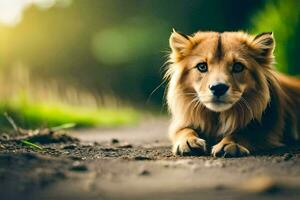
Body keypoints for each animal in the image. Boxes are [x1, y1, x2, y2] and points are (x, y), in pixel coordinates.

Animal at [165, 30, 300, 158]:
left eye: (238, 67)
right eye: (202, 66)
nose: (218, 88)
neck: (217, 118)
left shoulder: (266, 129)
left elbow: (242, 132)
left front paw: (230, 144)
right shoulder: (182, 122)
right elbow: (184, 130)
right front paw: (188, 142)